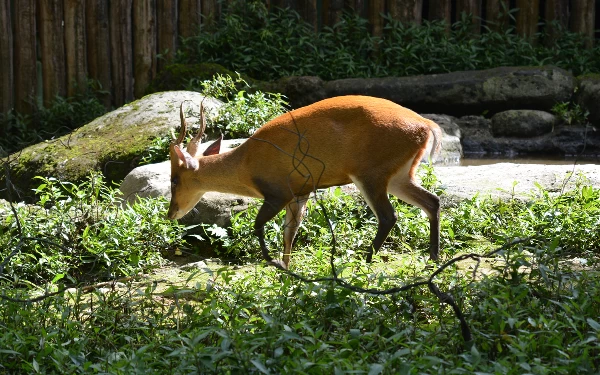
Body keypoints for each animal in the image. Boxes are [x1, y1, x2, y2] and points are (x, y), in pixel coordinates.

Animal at [166, 95, 442, 268]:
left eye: (174, 180)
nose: (171, 213)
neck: (245, 163)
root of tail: (426, 124)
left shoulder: (278, 193)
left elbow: (259, 225)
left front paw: (274, 263)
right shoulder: (301, 191)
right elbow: (290, 232)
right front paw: (286, 274)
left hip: (371, 174)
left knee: (388, 216)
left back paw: (362, 265)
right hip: (399, 176)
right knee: (433, 201)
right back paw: (433, 261)